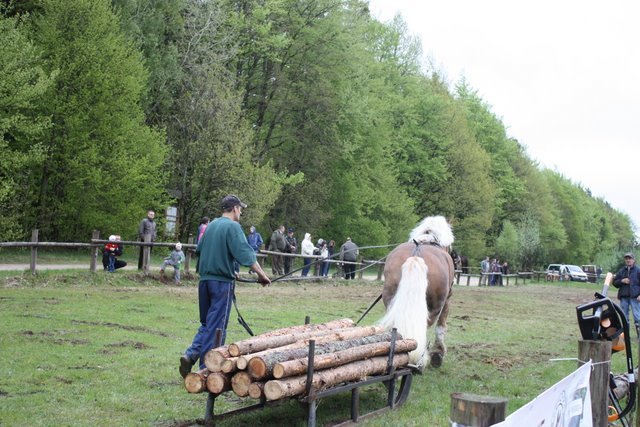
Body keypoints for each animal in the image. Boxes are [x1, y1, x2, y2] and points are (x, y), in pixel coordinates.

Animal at [380, 217, 456, 372]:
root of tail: (415, 255)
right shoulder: (446, 301)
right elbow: (441, 326)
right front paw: (438, 353)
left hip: (391, 300)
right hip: (434, 306)